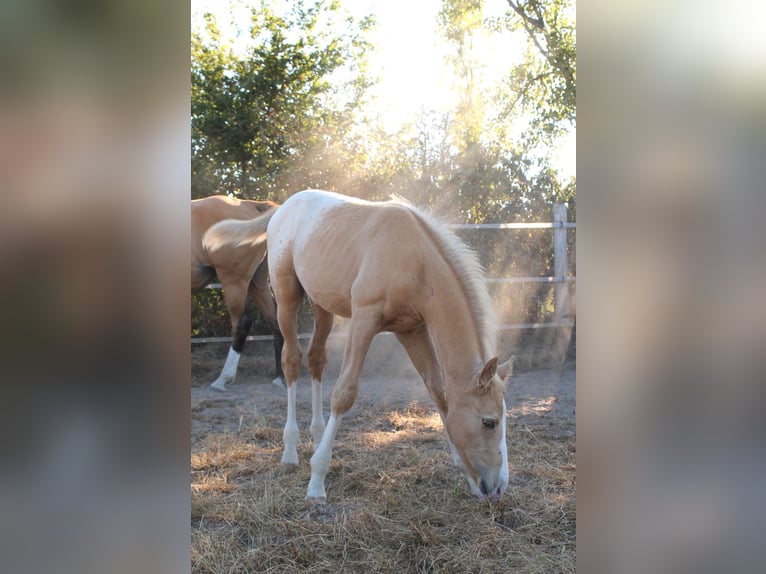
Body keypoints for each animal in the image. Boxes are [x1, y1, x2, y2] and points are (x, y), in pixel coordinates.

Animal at [207, 190, 512, 504]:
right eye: (489, 422)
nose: (499, 486)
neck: (416, 260)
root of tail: (283, 208)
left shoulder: (411, 330)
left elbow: (438, 392)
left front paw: (465, 472)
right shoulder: (365, 318)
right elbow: (344, 393)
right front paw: (316, 482)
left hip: (321, 304)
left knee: (316, 359)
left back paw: (317, 436)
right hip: (287, 295)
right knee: (291, 361)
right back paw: (290, 451)